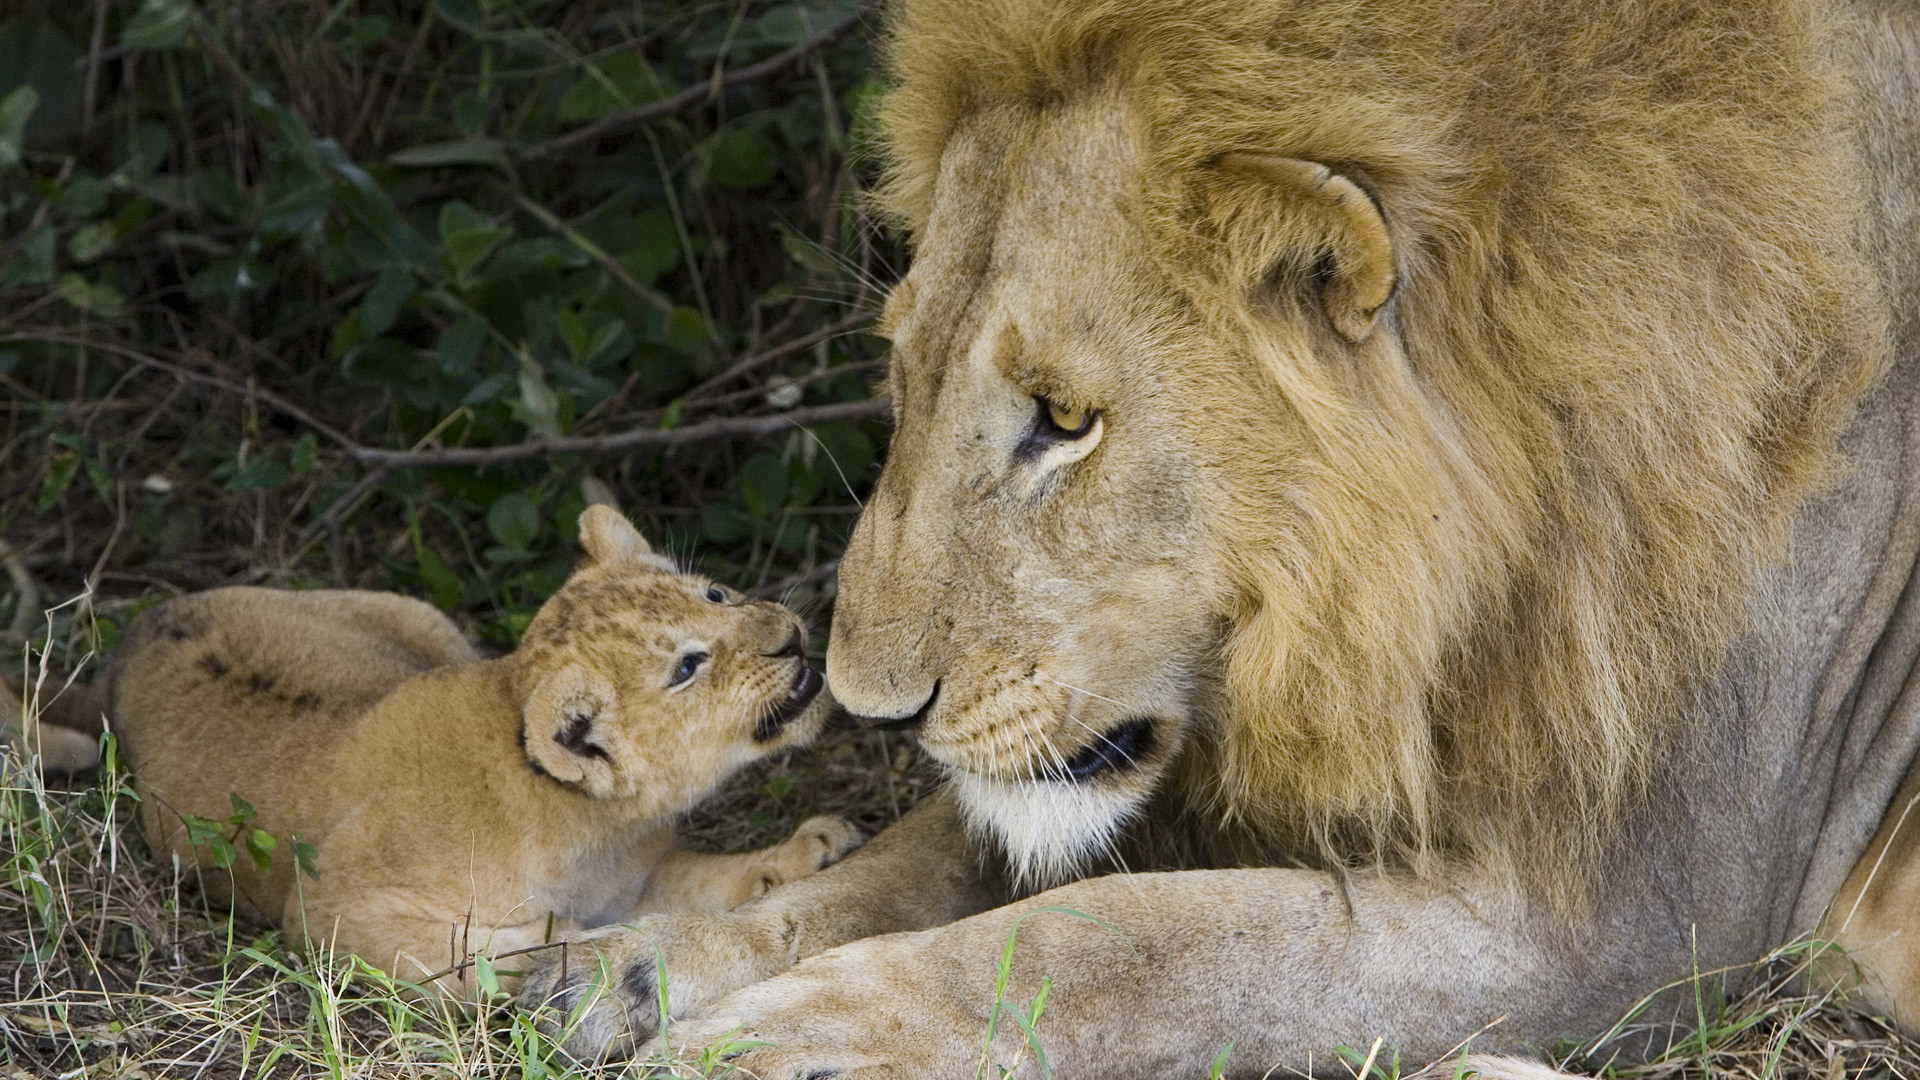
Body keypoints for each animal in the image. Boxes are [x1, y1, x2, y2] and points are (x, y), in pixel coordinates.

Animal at [42, 506, 860, 1000]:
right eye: (687, 667)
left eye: (715, 594)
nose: (790, 635)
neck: (593, 830)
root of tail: (132, 638)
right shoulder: (332, 914)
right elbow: (480, 953)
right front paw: (578, 950)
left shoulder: (637, 875)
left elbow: (708, 882)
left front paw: (809, 851)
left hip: (419, 618)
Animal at [503, 0, 1920, 1073]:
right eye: (904, 371)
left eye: (1065, 420)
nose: (866, 706)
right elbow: (914, 862)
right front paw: (621, 973)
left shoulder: (1635, 916)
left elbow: (1133, 942)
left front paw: (799, 1038)